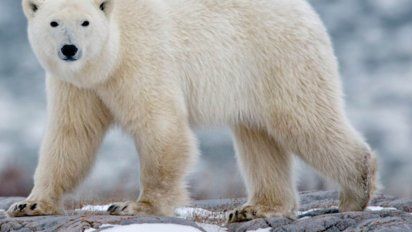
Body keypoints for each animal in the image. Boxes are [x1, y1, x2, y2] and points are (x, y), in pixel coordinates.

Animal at [8, 0, 378, 223]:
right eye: (54, 22)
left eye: (85, 22)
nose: (69, 49)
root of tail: (307, 11)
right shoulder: (76, 86)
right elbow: (71, 135)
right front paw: (30, 204)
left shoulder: (141, 58)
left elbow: (160, 126)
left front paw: (134, 205)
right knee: (258, 138)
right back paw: (255, 208)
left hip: (277, 58)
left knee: (304, 121)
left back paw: (355, 192)